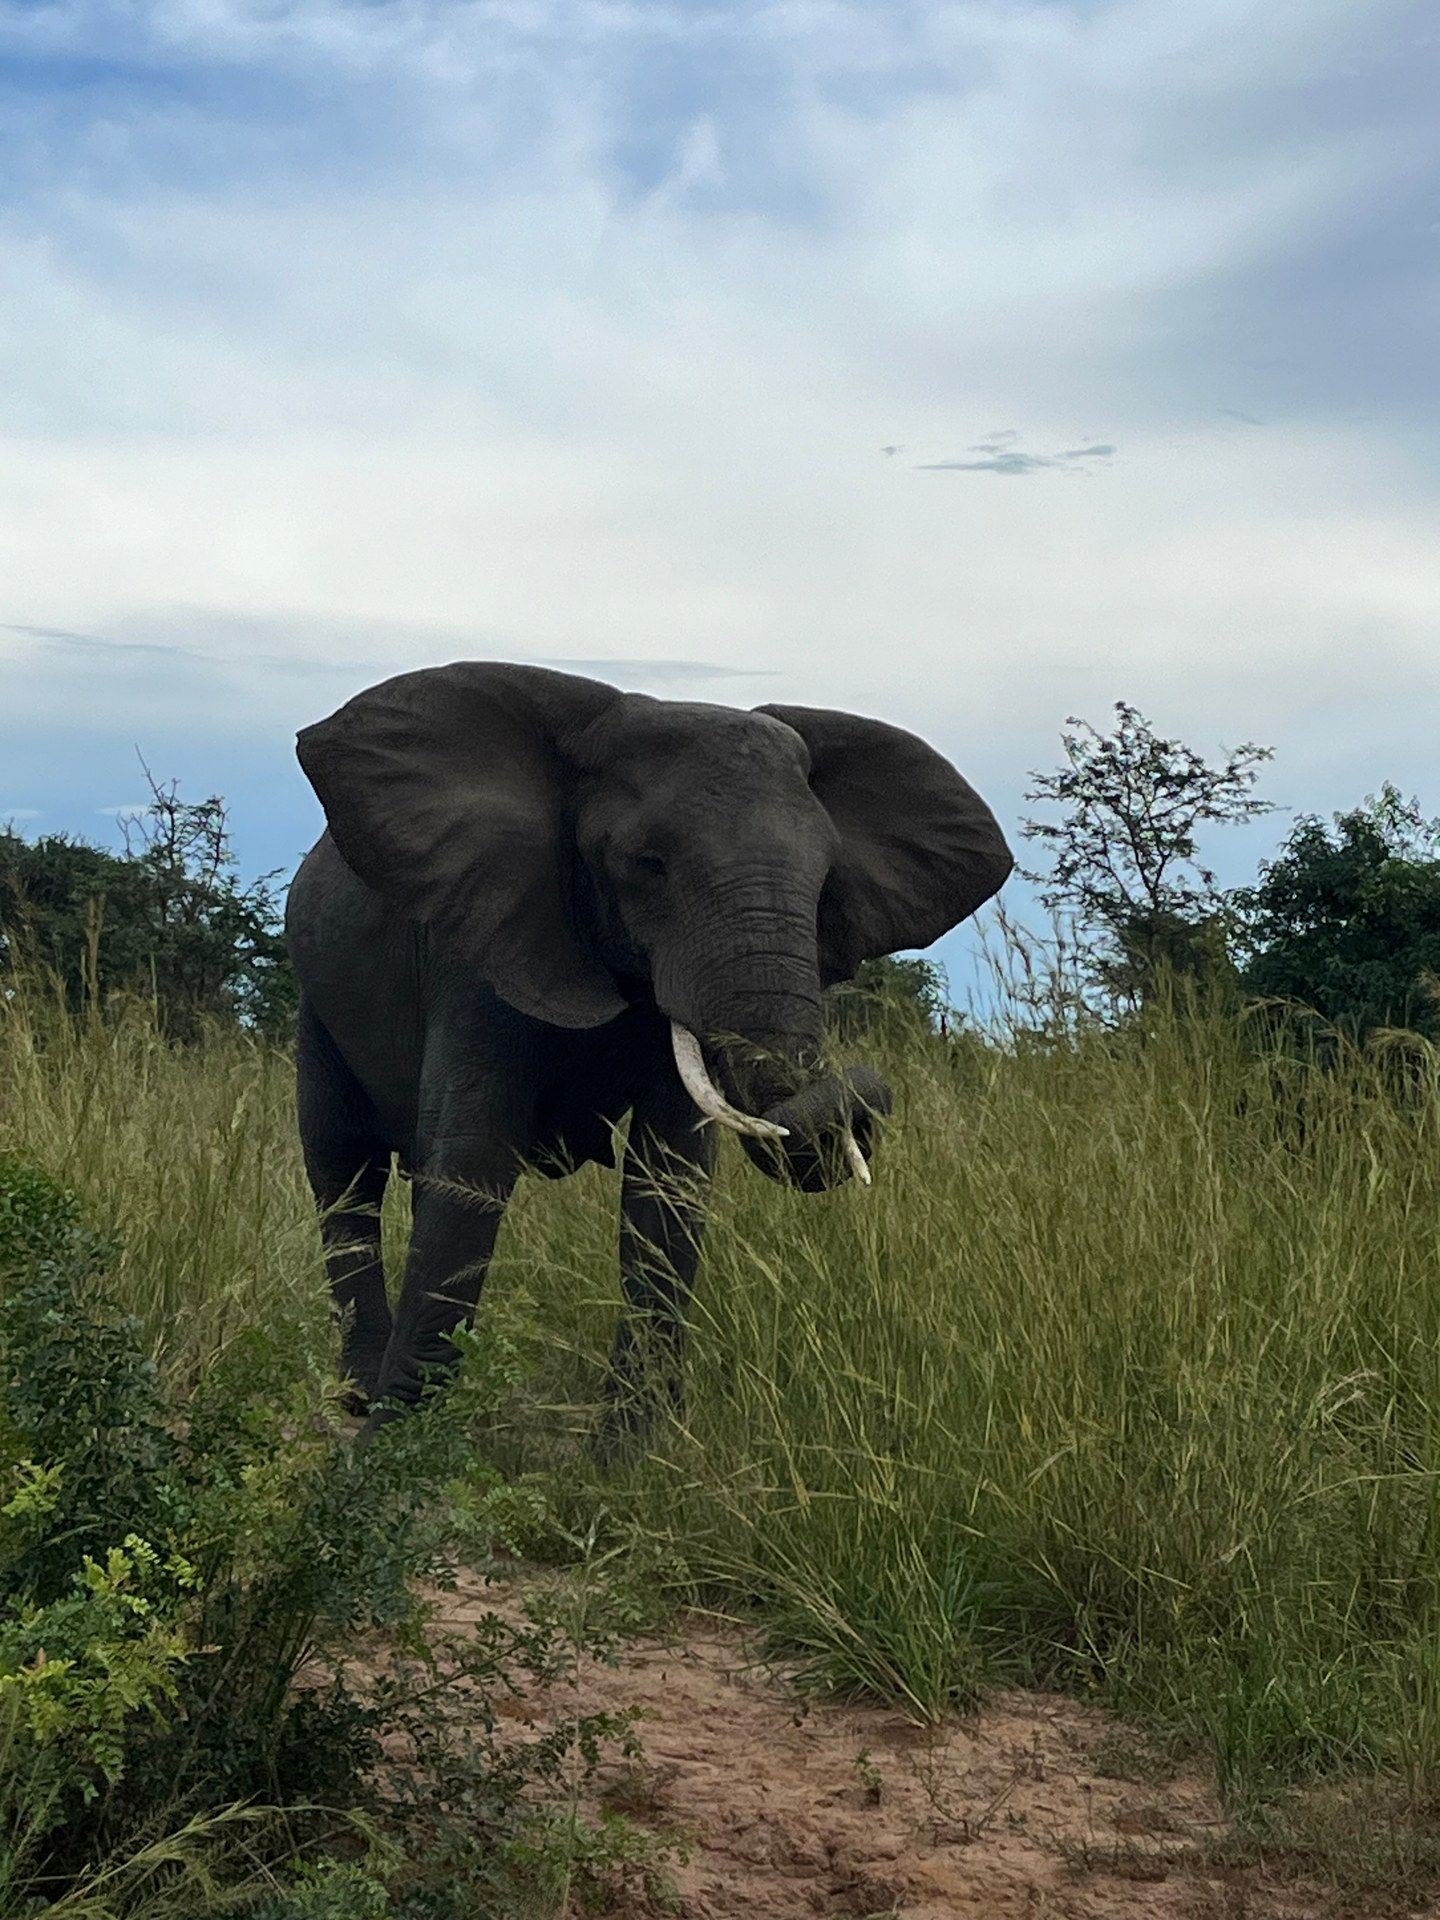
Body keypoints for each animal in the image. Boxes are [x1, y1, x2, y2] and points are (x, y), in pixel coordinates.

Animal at [285, 662, 1012, 1448]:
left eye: (825, 883)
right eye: (647, 865)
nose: (848, 1112)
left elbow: (669, 1184)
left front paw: (634, 1455)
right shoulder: (476, 947)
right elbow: (469, 1174)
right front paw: (390, 1455)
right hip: (316, 1002)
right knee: (343, 1172)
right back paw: (356, 1396)